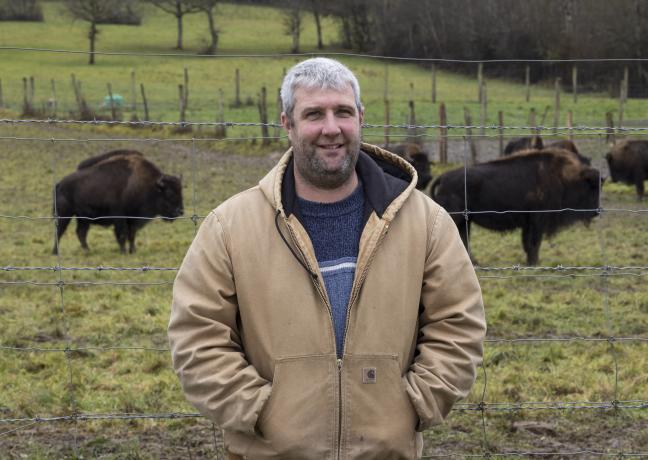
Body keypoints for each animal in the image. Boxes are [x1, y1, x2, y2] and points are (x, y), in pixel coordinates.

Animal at [52, 151, 185, 253]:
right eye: (170, 193)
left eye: (181, 191)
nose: (180, 211)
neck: (150, 186)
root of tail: (60, 184)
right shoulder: (120, 217)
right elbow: (122, 234)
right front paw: (124, 251)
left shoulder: (133, 220)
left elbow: (131, 235)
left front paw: (133, 251)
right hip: (65, 214)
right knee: (60, 231)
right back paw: (56, 252)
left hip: (83, 218)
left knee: (81, 232)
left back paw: (87, 251)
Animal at [430, 149, 604, 264]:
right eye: (592, 187)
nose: (596, 212)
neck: (564, 177)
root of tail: (443, 178)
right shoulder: (537, 220)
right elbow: (534, 242)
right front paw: (534, 263)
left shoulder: (529, 222)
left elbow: (528, 242)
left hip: (464, 221)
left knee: (462, 240)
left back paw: (474, 263)